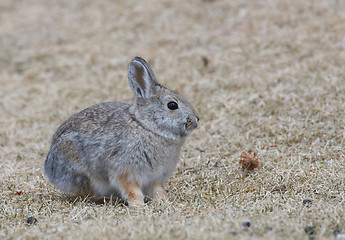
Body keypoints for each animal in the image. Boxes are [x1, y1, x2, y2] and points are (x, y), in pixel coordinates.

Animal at [43, 56, 199, 204]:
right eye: (172, 105)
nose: (196, 120)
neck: (146, 126)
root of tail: (50, 169)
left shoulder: (156, 177)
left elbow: (158, 190)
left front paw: (163, 201)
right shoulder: (125, 171)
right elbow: (132, 190)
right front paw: (138, 205)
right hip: (83, 173)